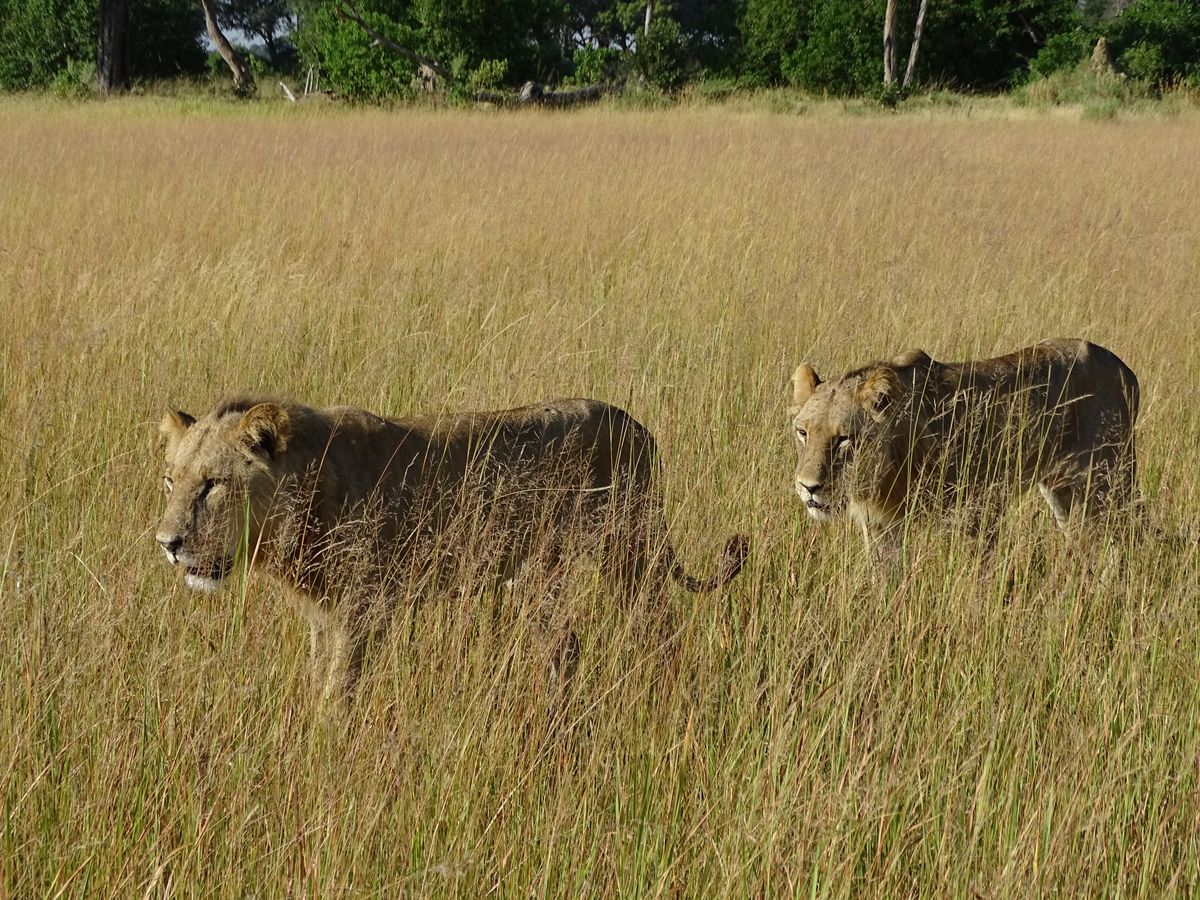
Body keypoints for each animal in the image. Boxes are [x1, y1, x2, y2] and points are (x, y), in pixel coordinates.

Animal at [156, 396, 748, 703]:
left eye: (212, 485)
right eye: (170, 481)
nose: (167, 544)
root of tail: (634, 421)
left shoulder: (363, 609)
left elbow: (340, 688)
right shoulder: (323, 614)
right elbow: (319, 677)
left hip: (628, 549)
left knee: (658, 627)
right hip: (542, 573)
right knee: (566, 645)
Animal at [788, 338, 1139, 557]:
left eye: (844, 439)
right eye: (803, 433)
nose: (809, 487)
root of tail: (1125, 368)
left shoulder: (976, 513)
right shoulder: (881, 527)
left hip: (1108, 480)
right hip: (1062, 491)